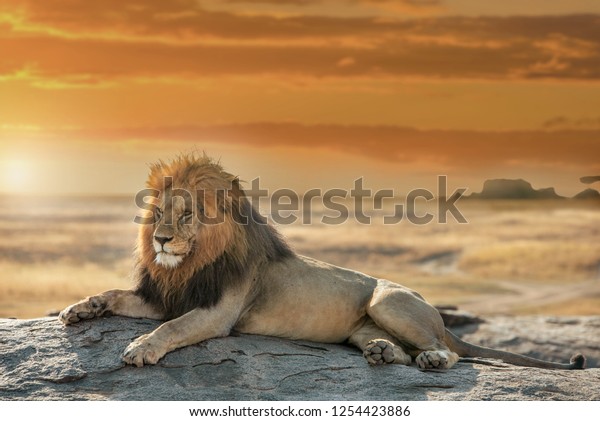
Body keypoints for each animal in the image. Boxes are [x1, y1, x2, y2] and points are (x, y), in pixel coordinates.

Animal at [57, 153, 584, 368]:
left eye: (188, 215)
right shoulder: (166, 295)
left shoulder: (215, 312)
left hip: (388, 302)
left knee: (449, 351)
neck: (188, 264)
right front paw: (79, 308)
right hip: (365, 326)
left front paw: (140, 348)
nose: (162, 240)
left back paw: (433, 357)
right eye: (158, 214)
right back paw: (385, 353)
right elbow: (114, 294)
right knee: (395, 348)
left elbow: (172, 328)